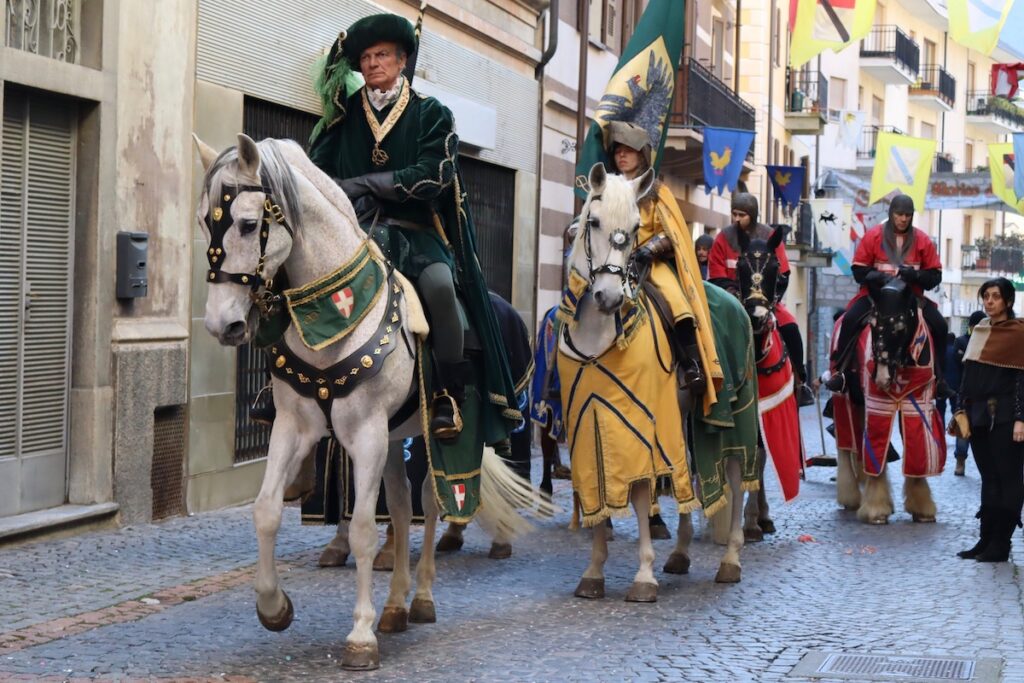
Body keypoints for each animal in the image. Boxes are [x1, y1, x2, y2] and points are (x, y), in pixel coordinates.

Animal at [196, 135, 540, 671]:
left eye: (248, 224)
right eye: (201, 222)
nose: (221, 324)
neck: (333, 312)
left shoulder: (366, 433)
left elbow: (361, 527)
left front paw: (360, 635)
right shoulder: (294, 426)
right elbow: (267, 509)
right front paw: (273, 606)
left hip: (429, 437)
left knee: (430, 505)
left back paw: (421, 599)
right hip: (395, 438)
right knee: (399, 507)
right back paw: (395, 606)